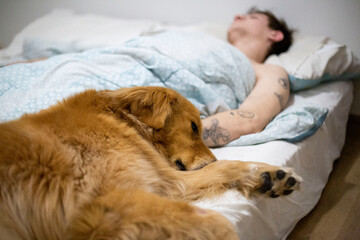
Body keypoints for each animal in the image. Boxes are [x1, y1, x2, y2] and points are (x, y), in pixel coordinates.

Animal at [0, 86, 300, 240]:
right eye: (194, 127)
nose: (209, 158)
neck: (121, 120)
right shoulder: (112, 199)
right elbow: (219, 221)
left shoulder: (165, 180)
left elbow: (224, 167)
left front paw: (270, 175)